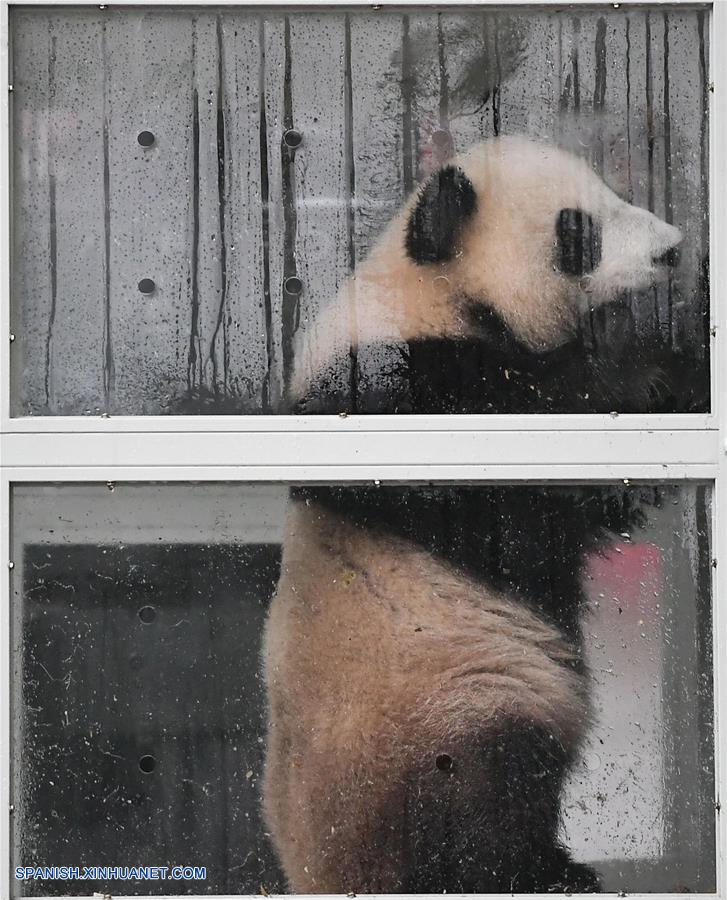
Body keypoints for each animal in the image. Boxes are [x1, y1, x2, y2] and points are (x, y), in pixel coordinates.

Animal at [262, 137, 688, 894]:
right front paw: (651, 366)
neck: (433, 294)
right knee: (485, 796)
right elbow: (511, 488)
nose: (670, 249)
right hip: (442, 707)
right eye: (577, 229)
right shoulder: (387, 394)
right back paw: (540, 871)